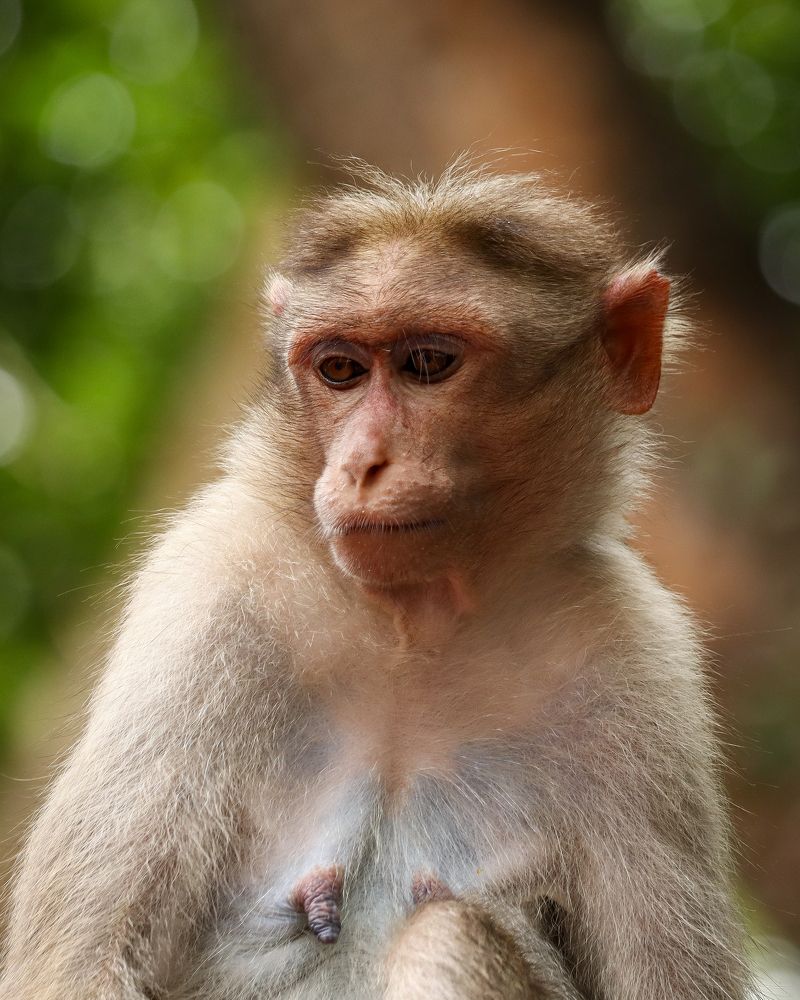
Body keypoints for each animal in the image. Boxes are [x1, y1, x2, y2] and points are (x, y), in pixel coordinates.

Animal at [0, 162, 752, 1000]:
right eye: (340, 370)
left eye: (428, 364)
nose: (361, 463)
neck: (412, 626)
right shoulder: (207, 591)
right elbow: (79, 965)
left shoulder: (633, 656)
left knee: (446, 929)